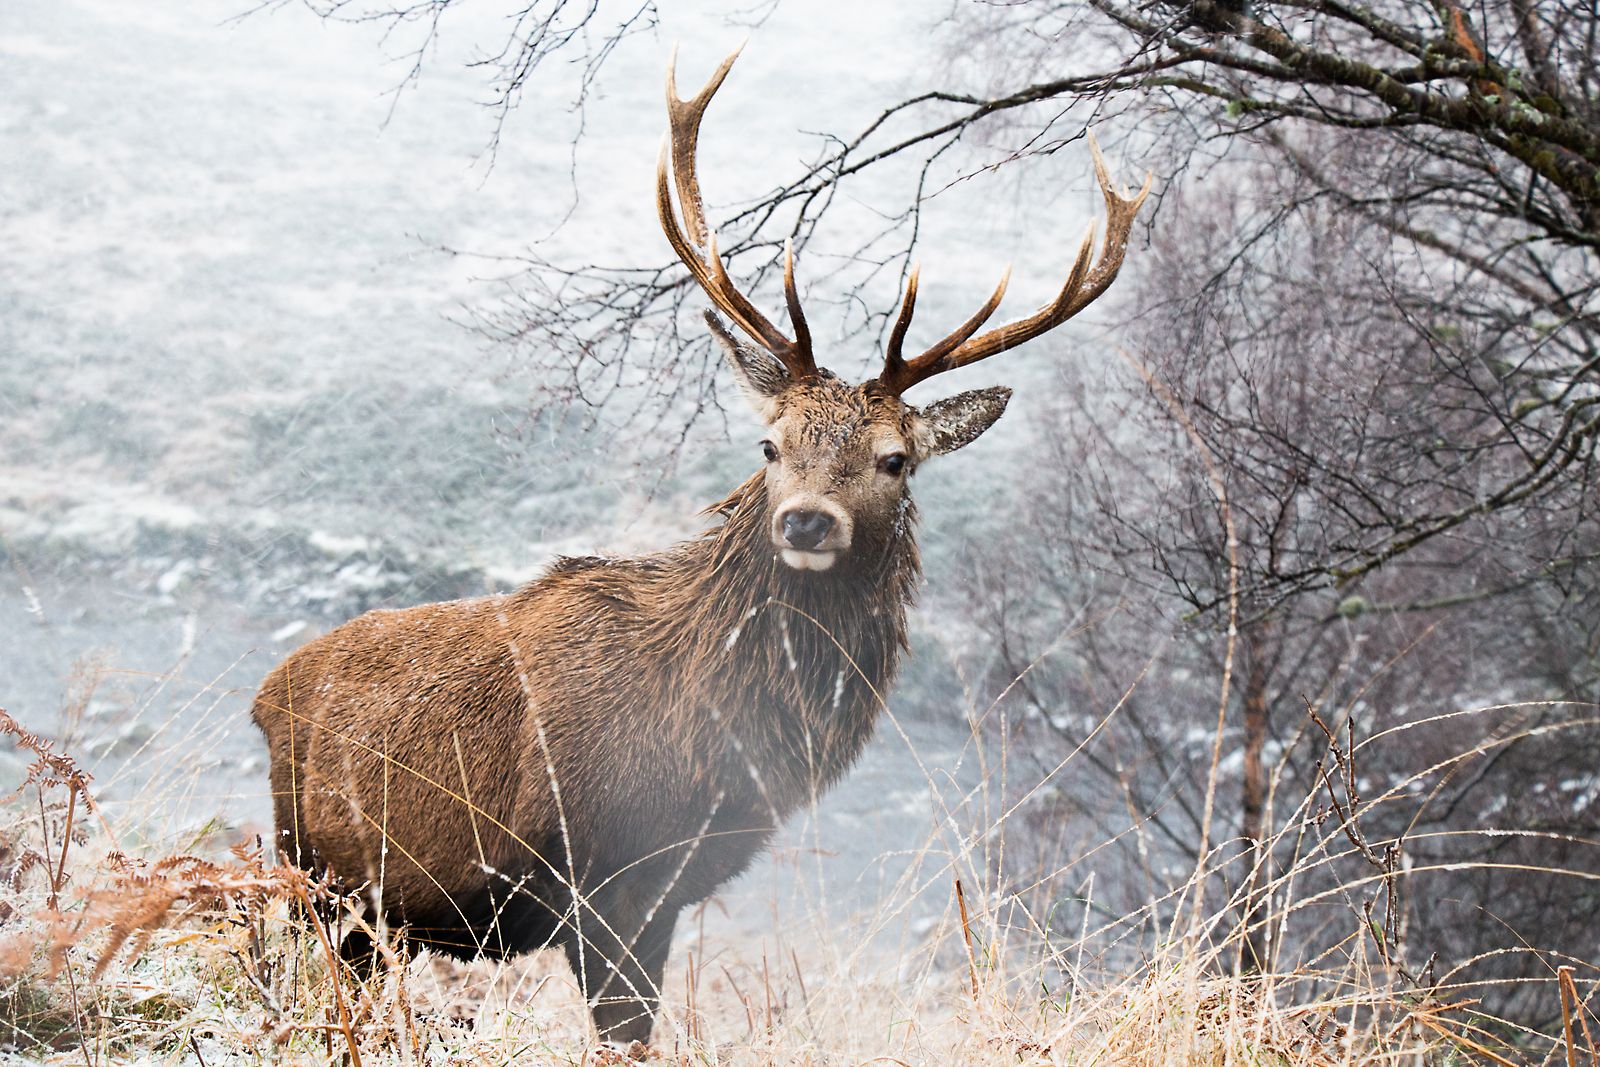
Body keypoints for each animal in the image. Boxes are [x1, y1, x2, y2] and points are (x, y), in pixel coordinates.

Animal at [249, 48, 1149, 1051]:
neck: (712, 739)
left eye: (895, 458)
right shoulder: (597, 872)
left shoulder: (672, 887)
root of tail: (269, 692)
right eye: (769, 444)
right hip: (318, 877)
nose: (806, 521)